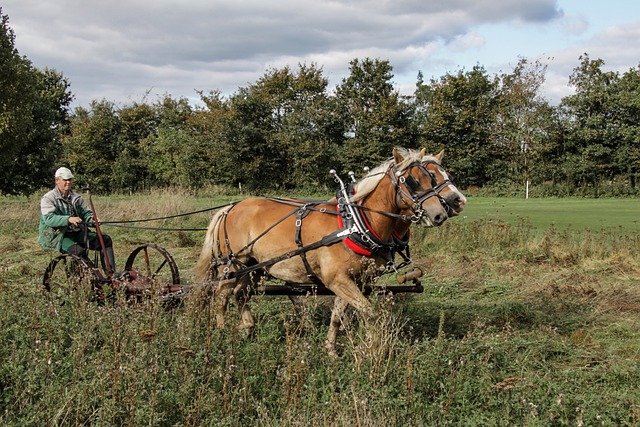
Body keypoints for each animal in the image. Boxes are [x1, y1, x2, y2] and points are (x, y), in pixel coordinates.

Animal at [194, 147, 464, 354]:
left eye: (434, 177)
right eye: (412, 181)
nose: (443, 210)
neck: (355, 222)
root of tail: (230, 208)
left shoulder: (353, 280)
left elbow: (338, 316)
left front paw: (331, 349)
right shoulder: (337, 279)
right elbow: (369, 312)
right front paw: (373, 347)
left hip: (252, 267)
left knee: (240, 293)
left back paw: (247, 327)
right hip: (233, 263)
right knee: (222, 295)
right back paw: (222, 333)